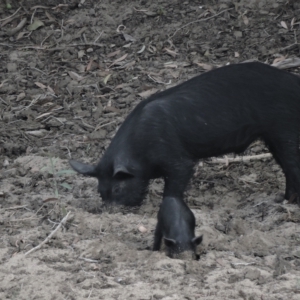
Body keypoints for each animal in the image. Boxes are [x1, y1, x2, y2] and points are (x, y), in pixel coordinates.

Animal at [70, 61, 300, 205]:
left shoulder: (177, 158)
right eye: (101, 192)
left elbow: (177, 180)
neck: (140, 151)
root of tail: (294, 82)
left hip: (284, 127)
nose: (113, 211)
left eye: (118, 189)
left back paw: (286, 202)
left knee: (292, 165)